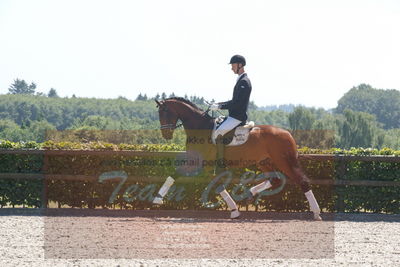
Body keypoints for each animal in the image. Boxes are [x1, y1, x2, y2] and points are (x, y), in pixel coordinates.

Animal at [153, 97, 322, 221]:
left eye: (165, 112)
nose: (166, 135)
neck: (201, 127)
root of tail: (287, 133)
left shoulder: (203, 163)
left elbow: (216, 184)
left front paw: (234, 210)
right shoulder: (198, 162)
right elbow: (173, 175)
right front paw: (158, 199)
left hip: (284, 162)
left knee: (302, 181)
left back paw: (316, 212)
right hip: (264, 162)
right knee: (275, 180)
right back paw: (249, 194)